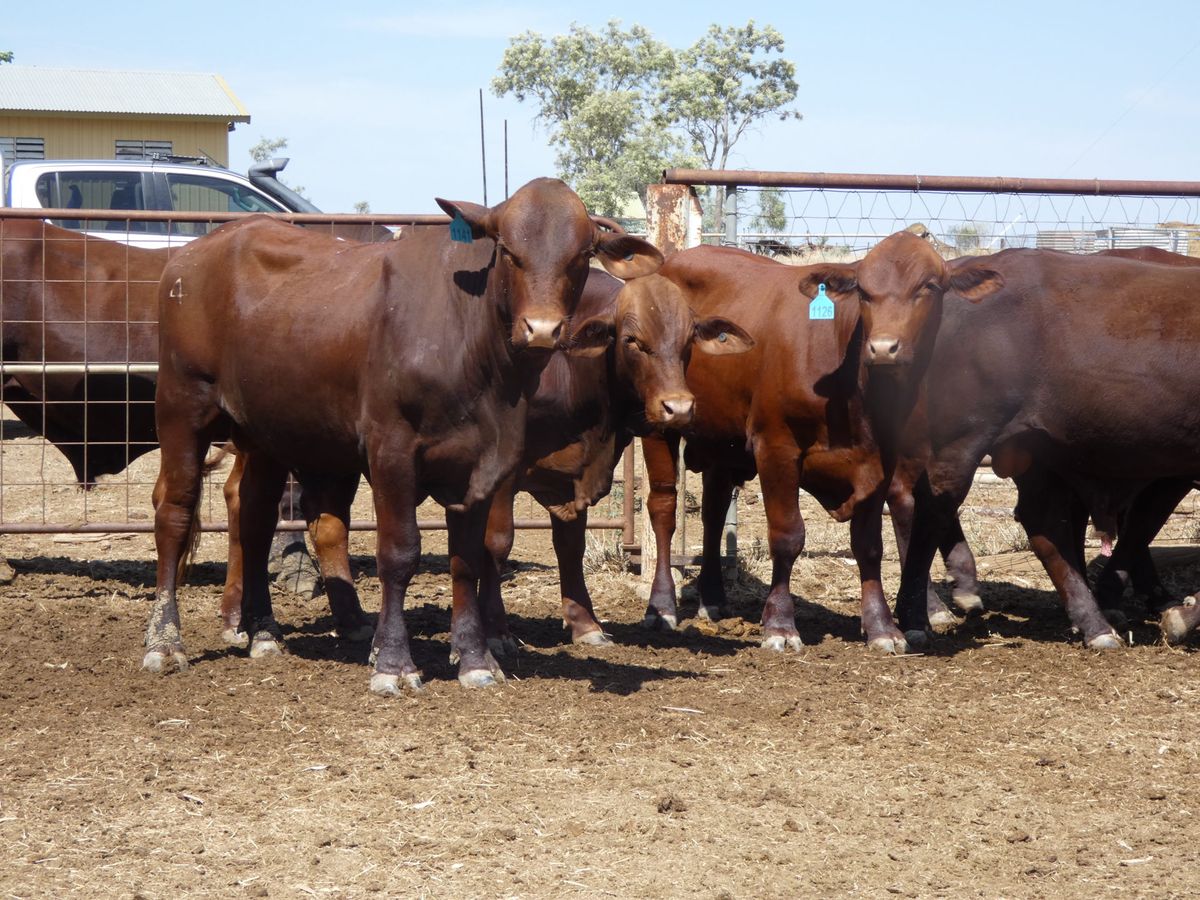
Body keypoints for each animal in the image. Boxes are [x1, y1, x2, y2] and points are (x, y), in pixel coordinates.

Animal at [144, 178, 664, 695]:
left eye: (581, 255)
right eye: (508, 251)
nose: (541, 329)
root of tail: (198, 251)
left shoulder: (482, 464)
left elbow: (467, 559)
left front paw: (474, 659)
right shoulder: (391, 451)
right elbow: (399, 552)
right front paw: (393, 662)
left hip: (264, 433)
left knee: (253, 516)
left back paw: (264, 632)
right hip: (182, 407)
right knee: (174, 512)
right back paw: (165, 642)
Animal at [638, 234, 1003, 653]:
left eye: (928, 286)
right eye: (863, 291)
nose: (882, 348)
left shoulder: (880, 461)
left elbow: (869, 546)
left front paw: (882, 627)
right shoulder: (776, 445)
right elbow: (788, 536)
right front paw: (780, 625)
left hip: (721, 440)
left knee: (713, 511)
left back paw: (712, 599)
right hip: (660, 426)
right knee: (663, 509)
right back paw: (661, 607)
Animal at [891, 248, 1200, 650]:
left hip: (1035, 447)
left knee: (1044, 520)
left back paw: (1093, 621)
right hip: (958, 438)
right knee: (928, 507)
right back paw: (919, 615)